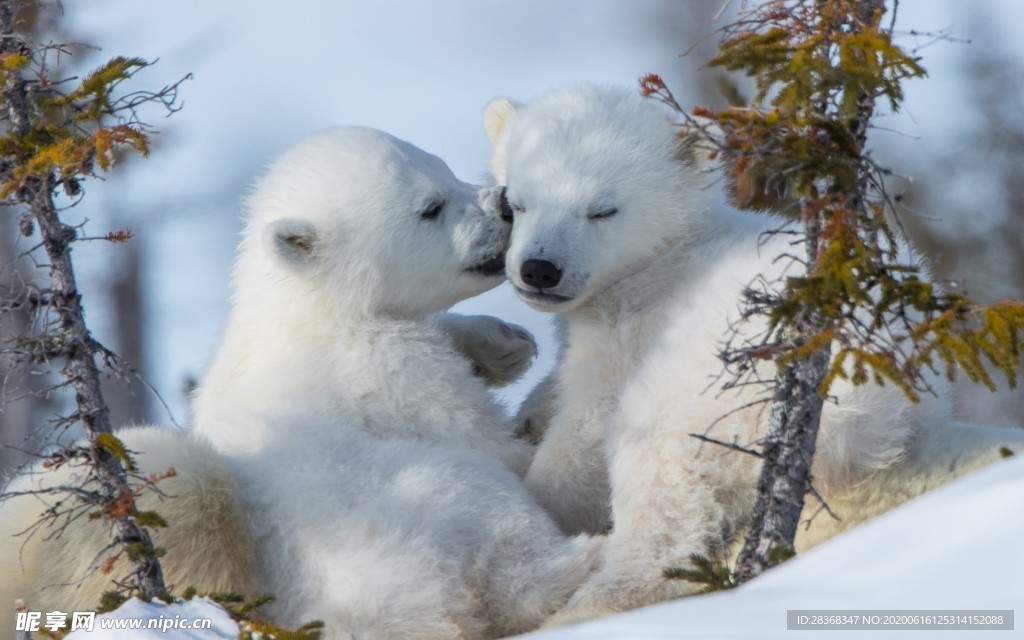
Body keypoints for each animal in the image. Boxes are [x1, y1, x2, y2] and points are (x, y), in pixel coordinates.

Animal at [1, 127, 600, 639]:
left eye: (445, 167)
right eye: (430, 207)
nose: (503, 203)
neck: (309, 309)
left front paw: (503, 342)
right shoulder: (387, 368)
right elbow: (494, 444)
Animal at [482, 85, 1024, 621]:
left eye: (603, 210)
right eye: (516, 202)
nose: (539, 269)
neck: (663, 262)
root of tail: (871, 407)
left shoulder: (632, 330)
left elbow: (586, 430)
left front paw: (537, 494)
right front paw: (531, 411)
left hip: (720, 395)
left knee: (661, 480)